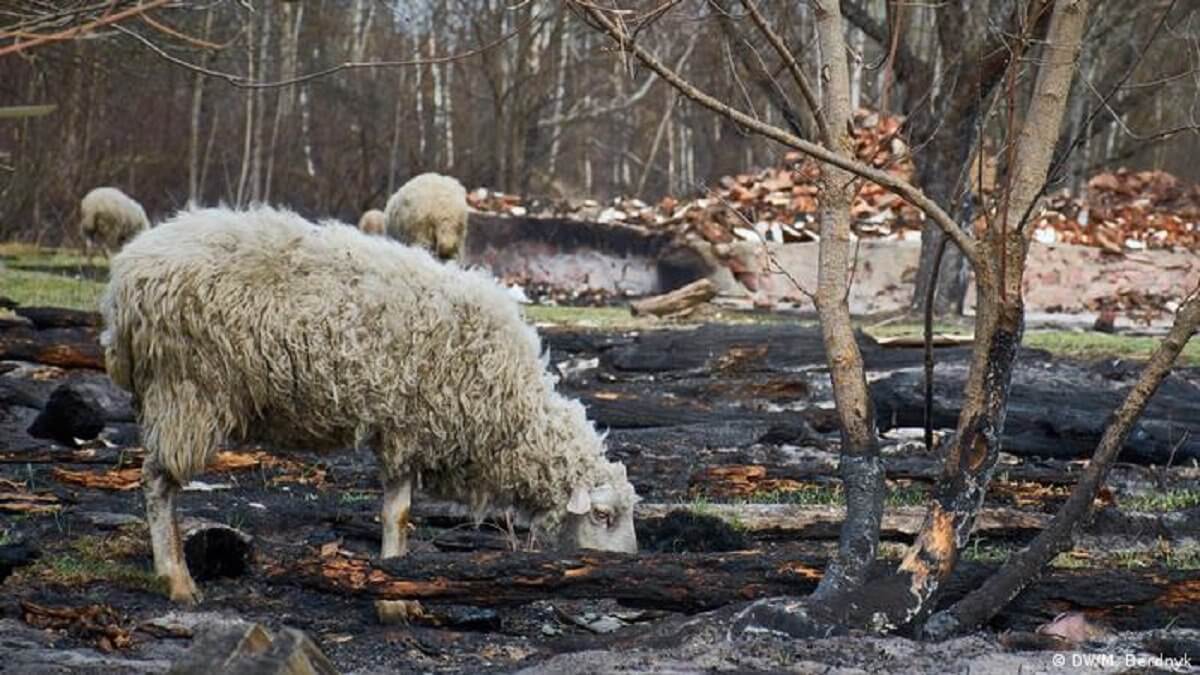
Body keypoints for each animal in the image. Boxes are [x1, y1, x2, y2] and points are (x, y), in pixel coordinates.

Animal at [100, 204, 638, 598]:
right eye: (602, 516)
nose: (625, 568)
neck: (512, 407)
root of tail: (125, 276)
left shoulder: (402, 426)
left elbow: (397, 510)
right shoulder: (410, 424)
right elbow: (397, 515)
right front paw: (396, 592)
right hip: (186, 388)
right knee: (156, 485)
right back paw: (177, 580)